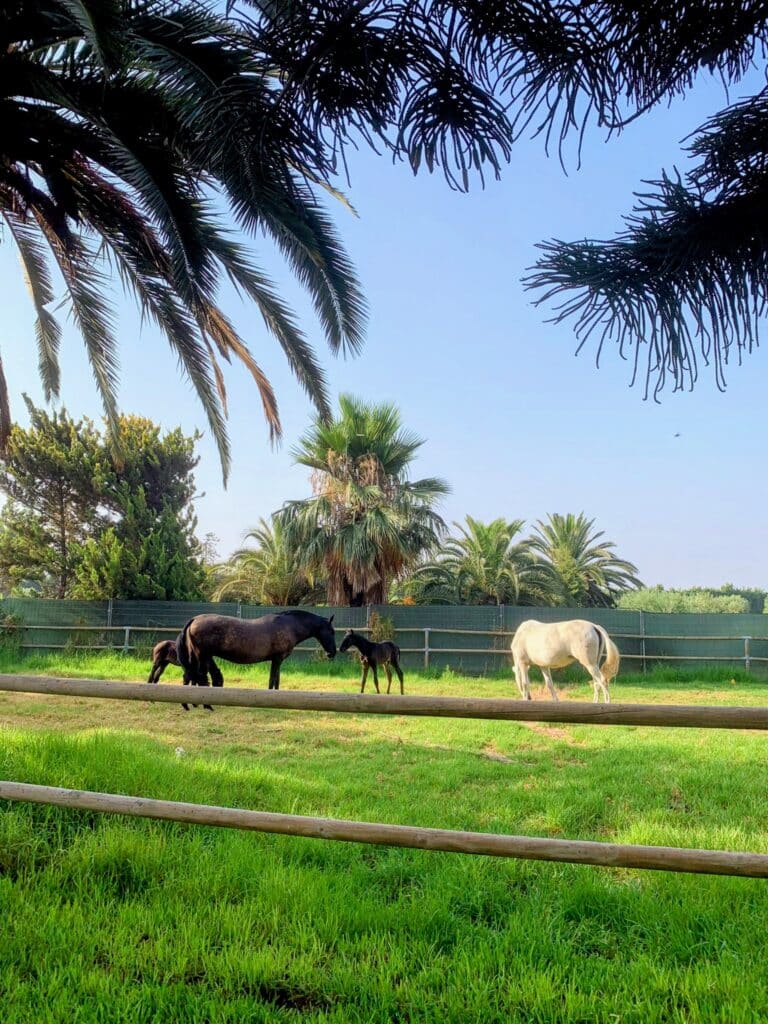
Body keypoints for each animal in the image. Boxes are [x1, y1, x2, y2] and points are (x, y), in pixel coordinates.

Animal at [177, 610, 336, 691]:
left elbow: (276, 680)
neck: (289, 626)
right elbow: (273, 680)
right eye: (332, 631)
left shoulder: (277, 661)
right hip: (203, 656)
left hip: (197, 656)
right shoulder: (277, 659)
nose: (332, 653)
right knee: (200, 675)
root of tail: (194, 619)